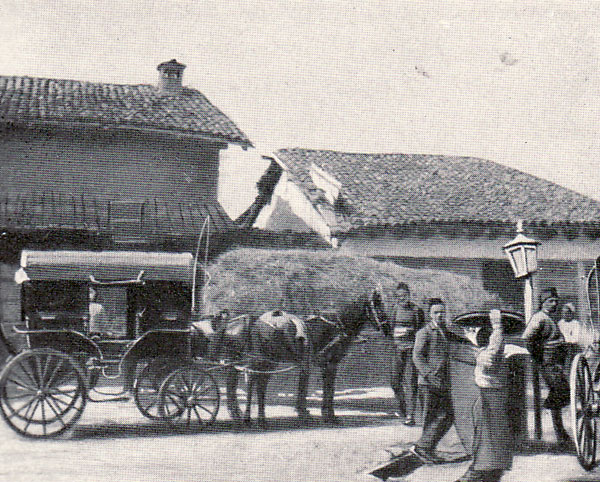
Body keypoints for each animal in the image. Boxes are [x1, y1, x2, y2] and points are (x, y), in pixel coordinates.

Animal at [209, 288, 386, 428]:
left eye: (382, 305)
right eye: (376, 306)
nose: (386, 327)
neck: (335, 326)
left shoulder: (325, 365)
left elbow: (326, 389)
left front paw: (326, 415)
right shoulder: (328, 364)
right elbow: (321, 389)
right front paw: (315, 414)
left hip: (257, 361)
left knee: (244, 383)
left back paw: (247, 416)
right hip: (259, 360)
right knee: (252, 381)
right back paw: (248, 417)